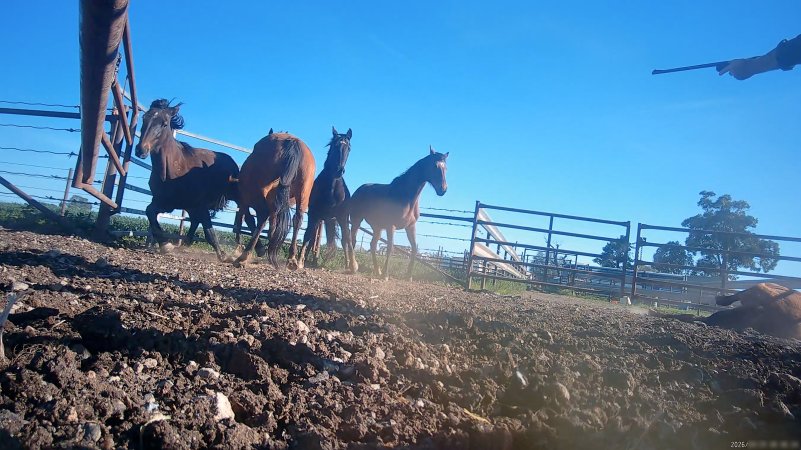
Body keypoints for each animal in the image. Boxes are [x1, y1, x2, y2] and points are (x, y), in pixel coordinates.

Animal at [135, 99, 239, 262]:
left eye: (164, 123)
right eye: (144, 118)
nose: (141, 150)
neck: (173, 170)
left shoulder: (200, 205)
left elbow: (209, 232)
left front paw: (223, 256)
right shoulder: (165, 203)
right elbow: (149, 211)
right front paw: (165, 245)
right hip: (189, 206)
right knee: (195, 221)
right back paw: (184, 245)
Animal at [233, 130, 315, 268]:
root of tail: (293, 142)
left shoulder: (245, 199)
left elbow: (244, 218)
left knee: (261, 217)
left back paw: (244, 256)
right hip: (303, 194)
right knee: (297, 219)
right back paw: (291, 258)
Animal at [293, 127, 355, 271]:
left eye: (349, 148)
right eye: (335, 145)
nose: (339, 170)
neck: (332, 189)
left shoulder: (343, 216)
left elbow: (347, 238)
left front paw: (352, 266)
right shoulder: (314, 214)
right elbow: (307, 235)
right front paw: (300, 261)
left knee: (343, 239)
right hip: (321, 219)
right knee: (312, 239)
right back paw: (308, 260)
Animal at [346, 147, 449, 280]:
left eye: (446, 168)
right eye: (435, 166)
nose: (443, 189)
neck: (406, 197)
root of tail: (359, 190)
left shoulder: (410, 227)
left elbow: (414, 248)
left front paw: (408, 276)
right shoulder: (391, 226)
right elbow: (390, 248)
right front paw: (386, 275)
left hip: (377, 227)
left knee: (373, 245)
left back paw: (377, 271)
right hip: (356, 221)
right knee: (352, 240)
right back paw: (353, 267)